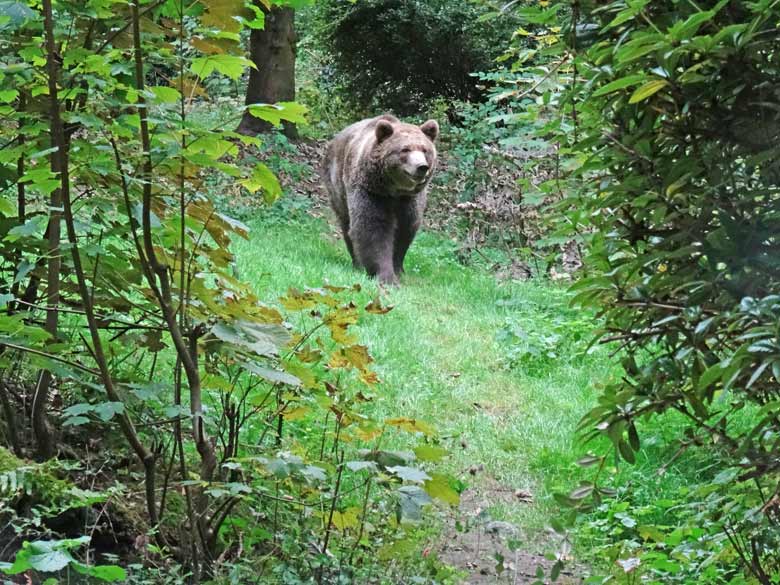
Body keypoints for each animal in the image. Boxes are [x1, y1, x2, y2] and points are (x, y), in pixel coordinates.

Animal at [320, 114, 436, 286]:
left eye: (425, 150)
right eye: (405, 149)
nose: (421, 167)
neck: (394, 190)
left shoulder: (410, 199)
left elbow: (405, 229)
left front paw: (398, 269)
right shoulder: (371, 192)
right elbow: (373, 228)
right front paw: (386, 277)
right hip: (337, 184)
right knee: (347, 224)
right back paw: (357, 263)